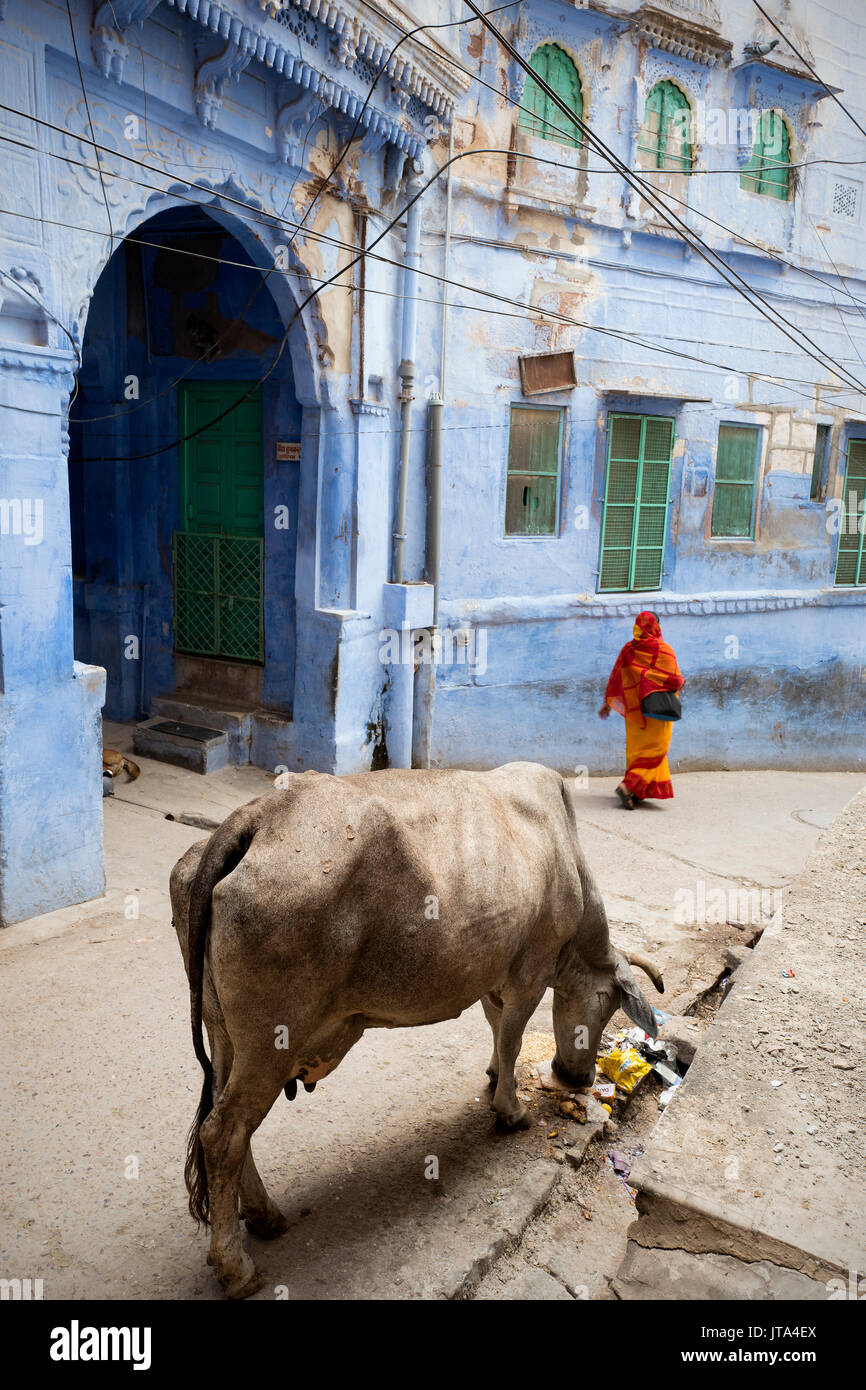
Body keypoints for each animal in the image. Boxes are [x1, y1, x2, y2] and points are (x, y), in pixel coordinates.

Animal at [170, 756, 664, 1295]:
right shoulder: (529, 975)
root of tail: (258, 815)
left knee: (225, 1120)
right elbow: (512, 1038)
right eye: (606, 1003)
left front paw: (494, 1076)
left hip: (225, 1034)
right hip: (270, 1042)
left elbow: (497, 1031)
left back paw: (264, 1216)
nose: (579, 1077)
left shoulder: (492, 974)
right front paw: (511, 1110)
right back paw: (236, 1268)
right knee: (224, 1134)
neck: (565, 857)